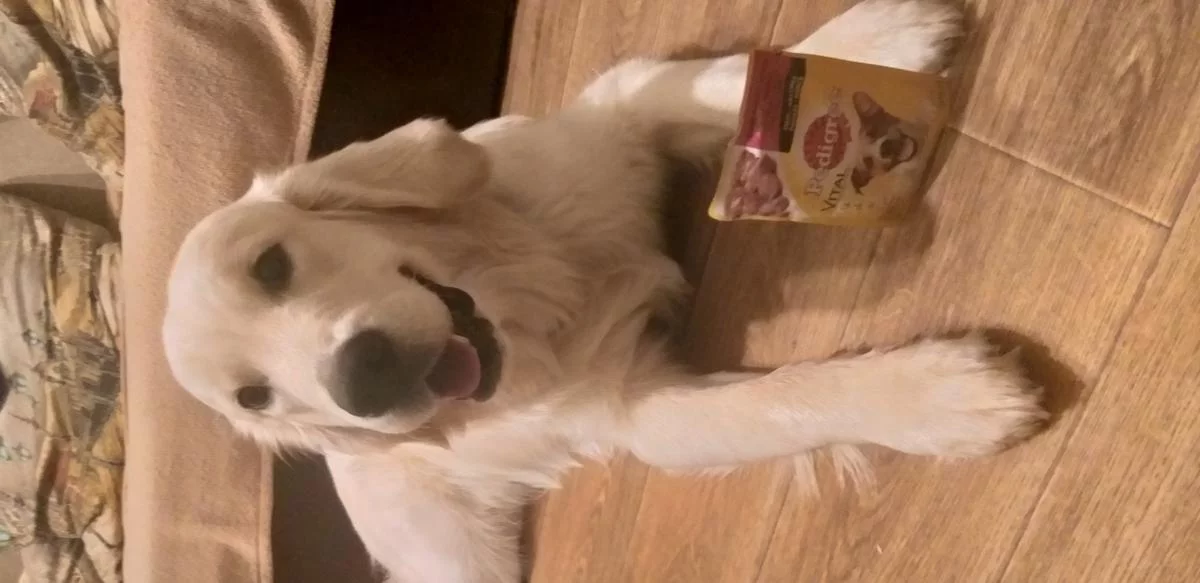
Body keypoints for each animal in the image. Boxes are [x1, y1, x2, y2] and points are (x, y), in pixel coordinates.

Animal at [162, 2, 1046, 581]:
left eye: (271, 264)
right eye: (257, 397)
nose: (362, 380)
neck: (537, 286)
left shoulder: (616, 110)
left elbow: (712, 82)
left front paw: (871, 42)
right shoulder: (635, 409)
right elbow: (780, 401)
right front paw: (945, 396)